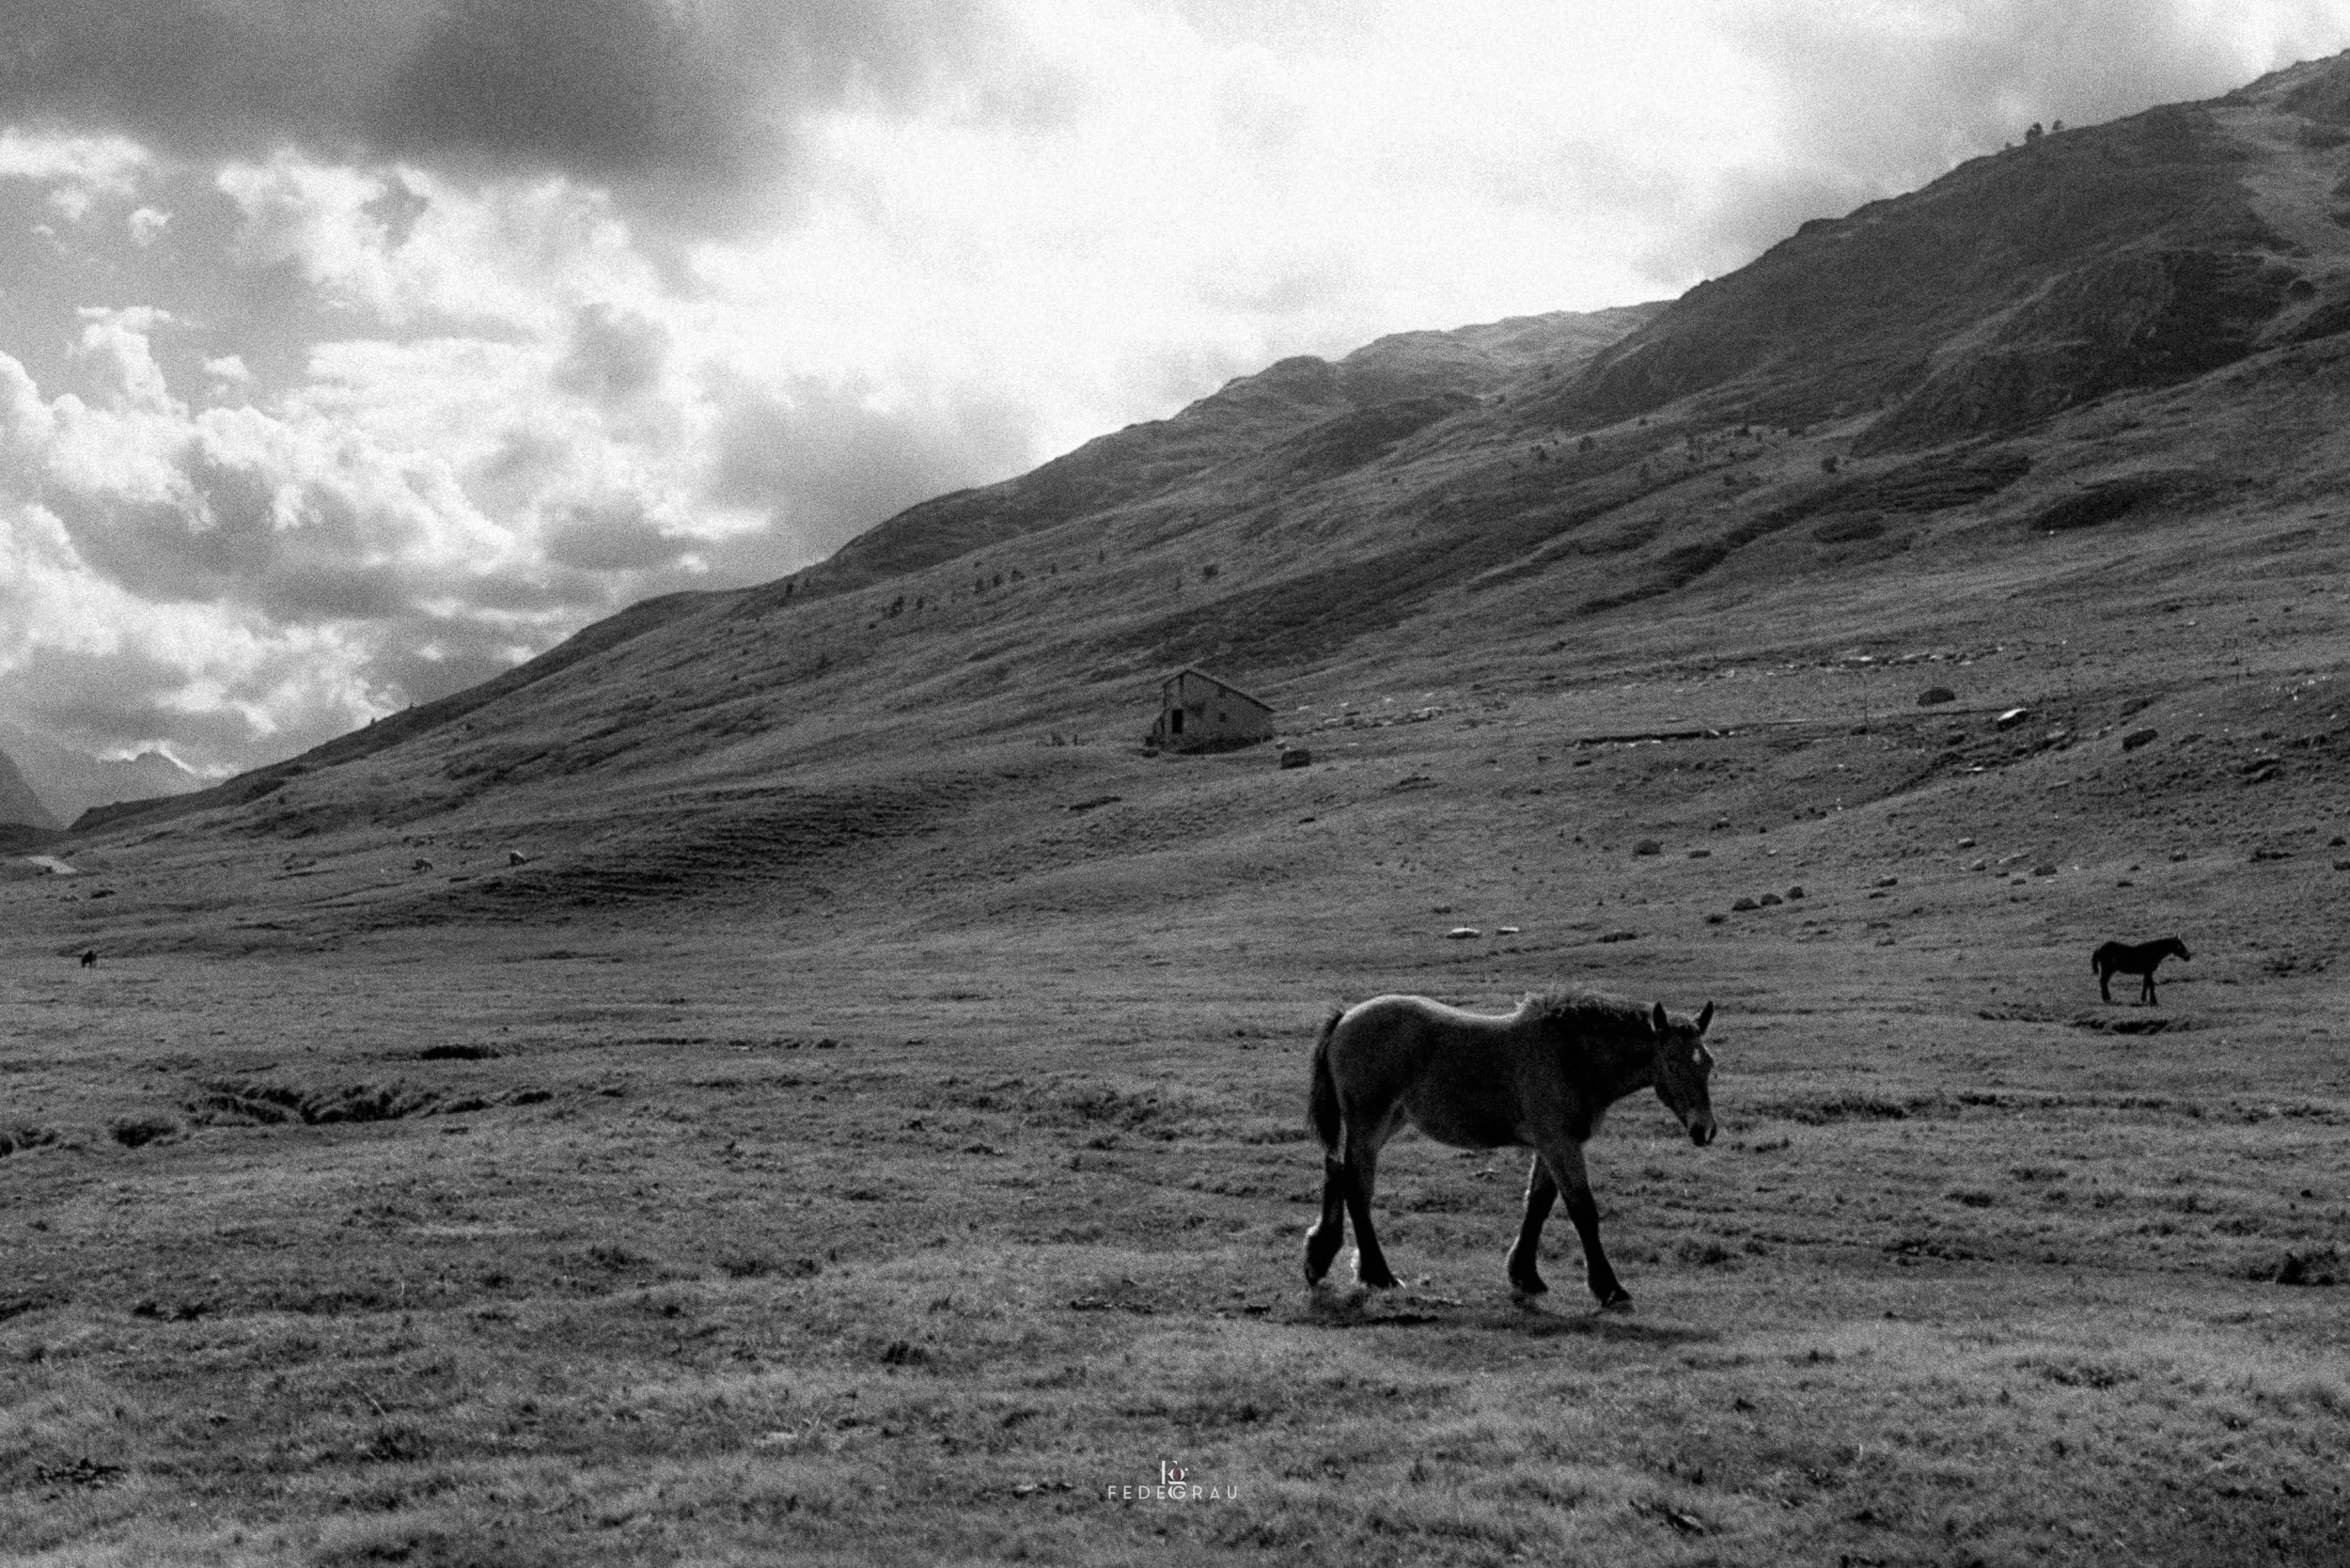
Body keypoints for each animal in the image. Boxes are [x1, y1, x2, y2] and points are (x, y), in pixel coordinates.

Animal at [1304, 990, 1716, 1307]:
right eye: (1673, 1063)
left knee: (1336, 1171)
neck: (1571, 1056)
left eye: (1709, 1063)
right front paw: (1609, 1288)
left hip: (1386, 1122)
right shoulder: (1559, 1142)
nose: (1705, 1130)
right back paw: (1378, 1274)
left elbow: (1539, 1203)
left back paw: (1320, 1257)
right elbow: (1582, 1209)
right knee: (1356, 1185)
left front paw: (1525, 1276)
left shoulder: (1552, 1144)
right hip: (1369, 1122)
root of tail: (1344, 1018)